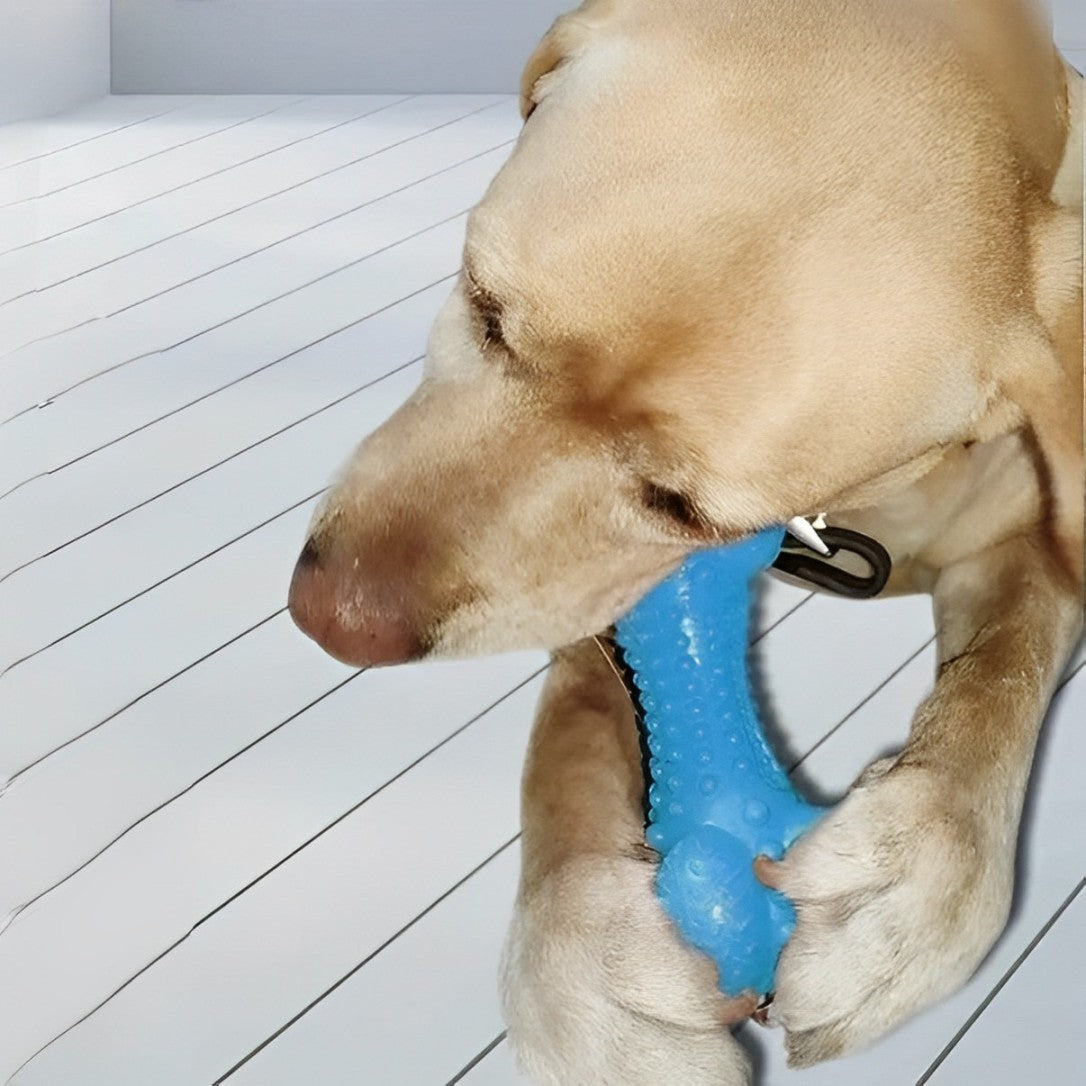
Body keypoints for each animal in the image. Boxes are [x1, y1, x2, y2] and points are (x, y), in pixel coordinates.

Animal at [293, 2, 1081, 1077]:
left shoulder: (1031, 544)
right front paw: (579, 956)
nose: (328, 620)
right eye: (486, 311)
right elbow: (569, 754)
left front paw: (910, 886)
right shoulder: (600, 611)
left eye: (679, 505)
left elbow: (999, 676)